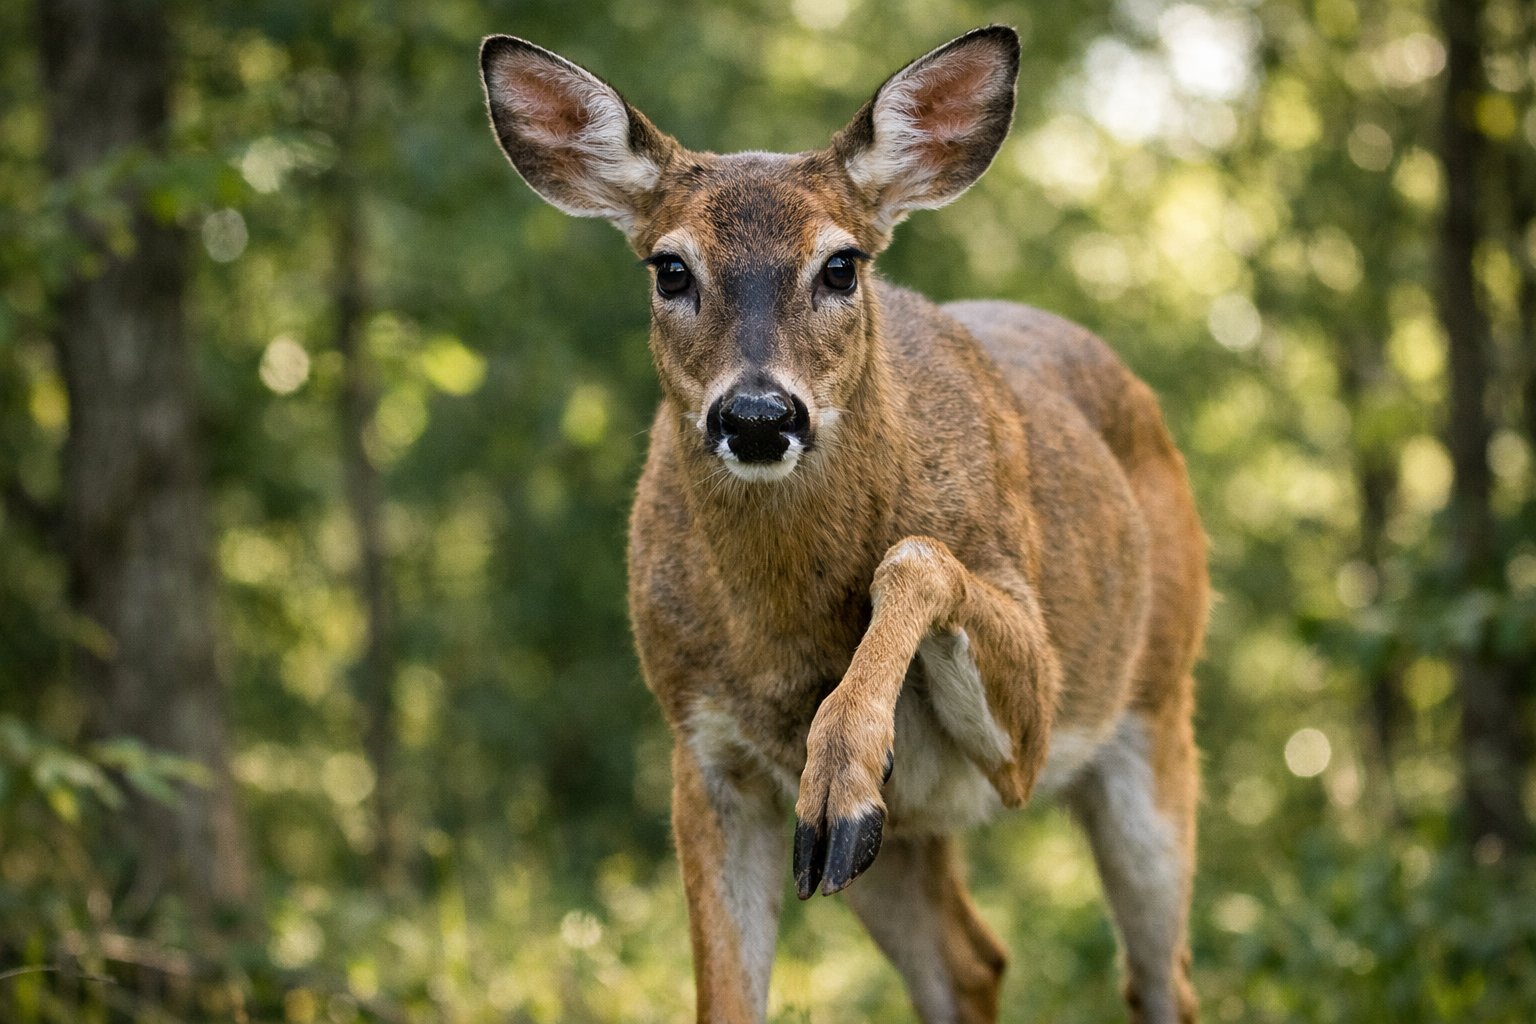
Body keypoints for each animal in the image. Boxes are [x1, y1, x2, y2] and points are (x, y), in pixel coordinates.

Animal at [480, 25, 1208, 1024]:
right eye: (670, 268)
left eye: (840, 264)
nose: (756, 414)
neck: (784, 637)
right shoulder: (704, 750)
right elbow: (724, 1000)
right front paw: (843, 787)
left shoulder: (1031, 731)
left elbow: (915, 556)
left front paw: (847, 768)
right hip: (911, 844)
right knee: (973, 958)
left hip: (1155, 707)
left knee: (1159, 975)